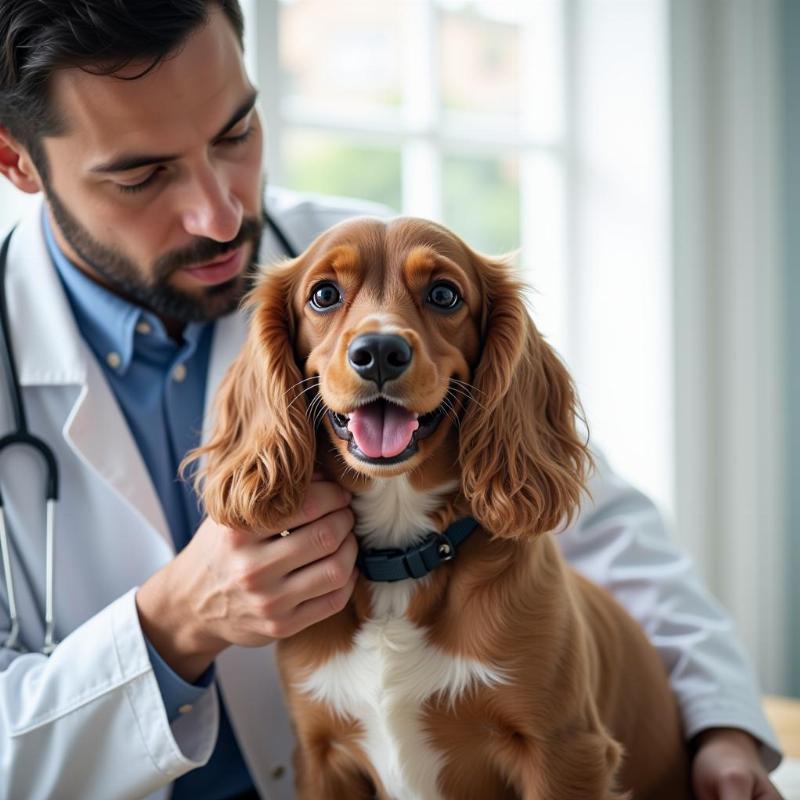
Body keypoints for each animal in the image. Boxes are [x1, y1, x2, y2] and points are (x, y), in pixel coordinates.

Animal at [197, 217, 692, 800]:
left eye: (443, 294)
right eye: (323, 295)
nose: (380, 350)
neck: (401, 560)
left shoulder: (565, 749)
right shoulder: (320, 757)